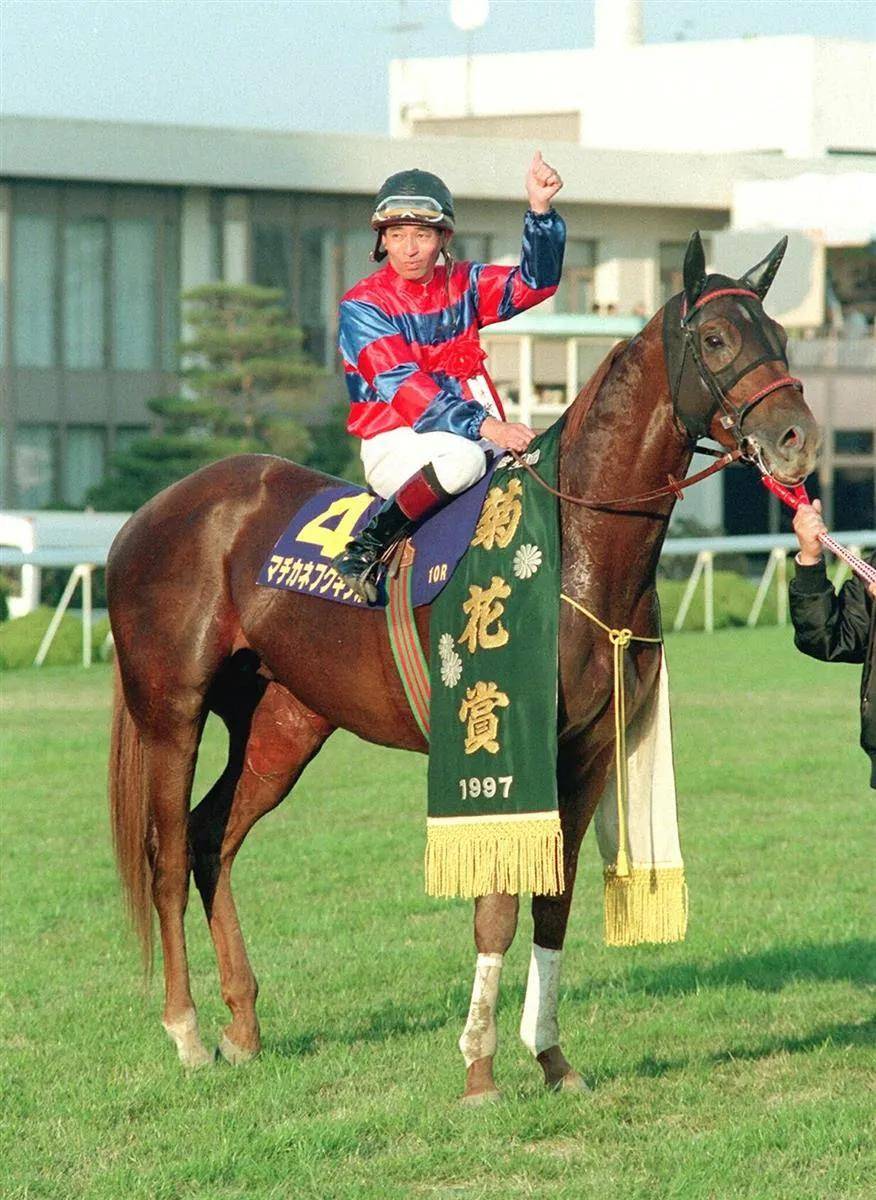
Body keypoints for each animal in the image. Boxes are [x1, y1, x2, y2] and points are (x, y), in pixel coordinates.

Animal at [107, 233, 818, 1101]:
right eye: (715, 339)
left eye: (778, 337)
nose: (797, 438)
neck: (576, 544)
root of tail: (154, 510)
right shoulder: (506, 745)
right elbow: (496, 909)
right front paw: (479, 1067)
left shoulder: (585, 752)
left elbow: (553, 900)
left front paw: (552, 1059)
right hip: (170, 711)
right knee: (169, 853)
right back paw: (186, 1031)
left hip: (282, 722)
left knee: (214, 838)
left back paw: (242, 1026)